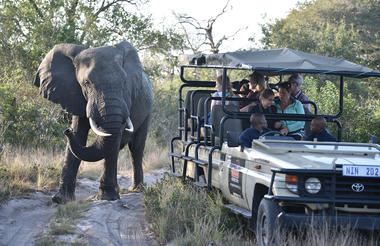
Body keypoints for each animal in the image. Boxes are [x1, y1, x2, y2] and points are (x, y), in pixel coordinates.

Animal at [33, 41, 153, 204]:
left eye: (124, 82)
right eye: (86, 83)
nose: (66, 131)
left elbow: (114, 137)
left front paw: (106, 198)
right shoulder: (75, 95)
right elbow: (79, 135)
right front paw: (60, 200)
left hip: (148, 109)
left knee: (136, 148)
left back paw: (136, 189)